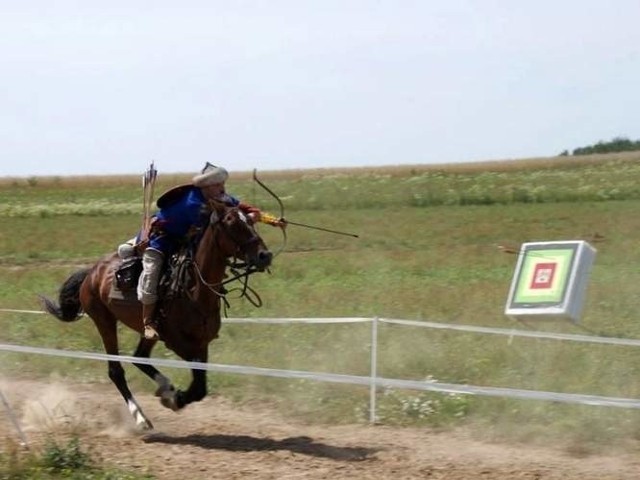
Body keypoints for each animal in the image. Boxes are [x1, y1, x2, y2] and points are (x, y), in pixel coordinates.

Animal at [42, 201, 272, 430]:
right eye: (231, 222)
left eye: (250, 220)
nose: (265, 255)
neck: (193, 288)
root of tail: (92, 272)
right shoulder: (179, 343)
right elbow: (198, 386)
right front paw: (175, 400)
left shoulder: (201, 343)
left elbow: (200, 385)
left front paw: (172, 396)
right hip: (104, 321)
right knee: (116, 370)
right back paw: (141, 417)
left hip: (147, 331)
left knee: (139, 357)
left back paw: (164, 387)